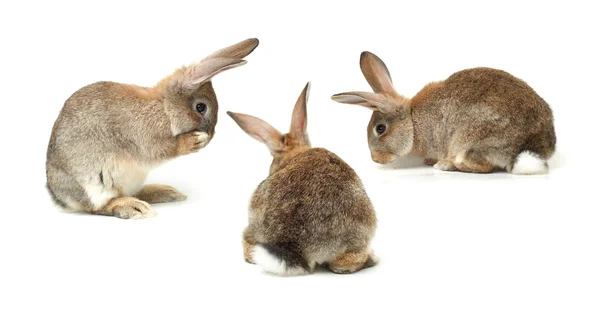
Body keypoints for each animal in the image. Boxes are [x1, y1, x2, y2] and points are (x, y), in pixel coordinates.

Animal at [46, 38, 258, 218]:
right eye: (201, 107)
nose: (210, 135)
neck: (164, 107)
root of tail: (59, 197)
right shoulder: (144, 139)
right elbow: (162, 149)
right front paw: (195, 141)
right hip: (95, 184)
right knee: (98, 207)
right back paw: (133, 207)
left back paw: (165, 192)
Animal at [330, 51, 556, 174]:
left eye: (380, 129)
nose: (376, 159)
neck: (413, 121)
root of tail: (530, 146)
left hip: (472, 139)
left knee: (482, 166)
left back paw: (446, 165)